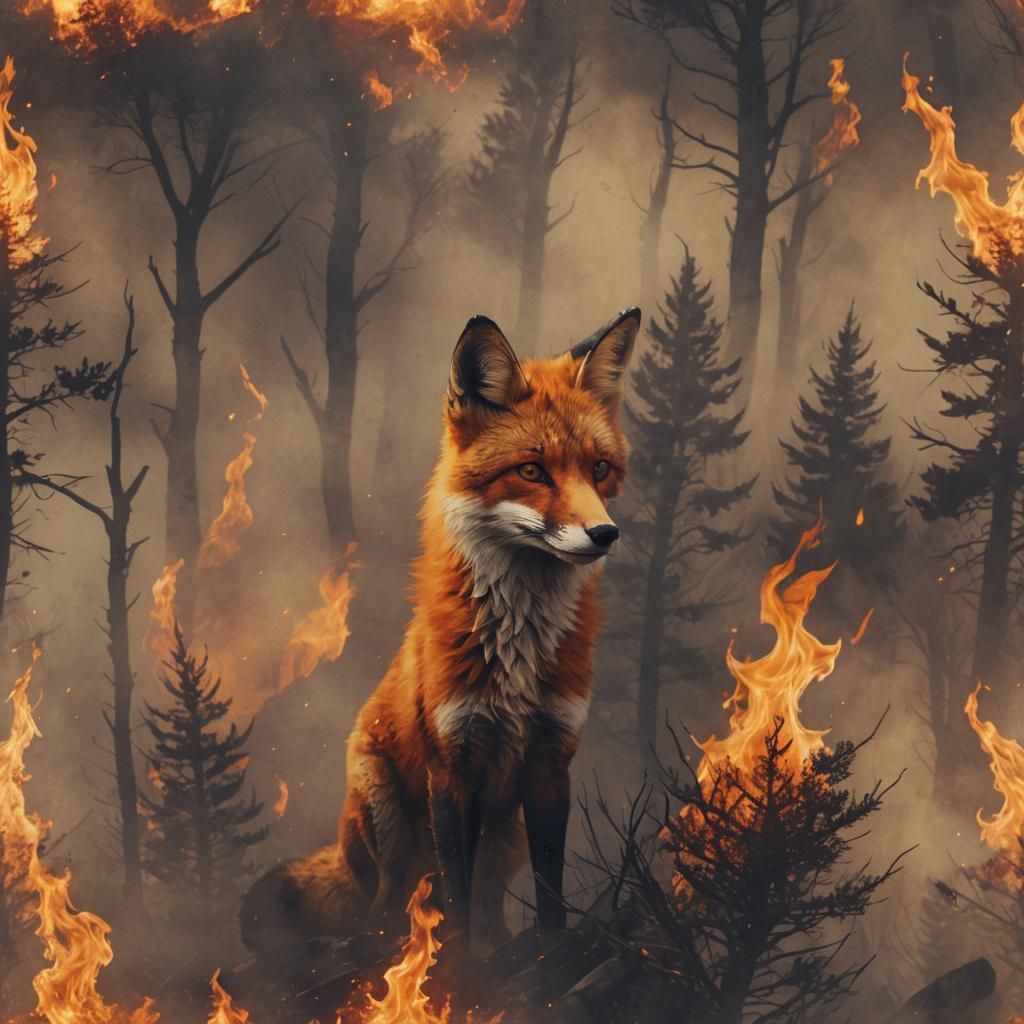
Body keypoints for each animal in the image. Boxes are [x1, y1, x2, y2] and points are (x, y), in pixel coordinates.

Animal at [242, 306, 640, 956]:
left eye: (600, 470)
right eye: (532, 470)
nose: (605, 534)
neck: (517, 654)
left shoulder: (551, 764)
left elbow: (549, 897)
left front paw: (548, 955)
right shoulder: (451, 767)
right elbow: (453, 905)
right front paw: (454, 971)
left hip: (507, 833)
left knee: (491, 903)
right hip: (386, 818)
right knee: (384, 905)